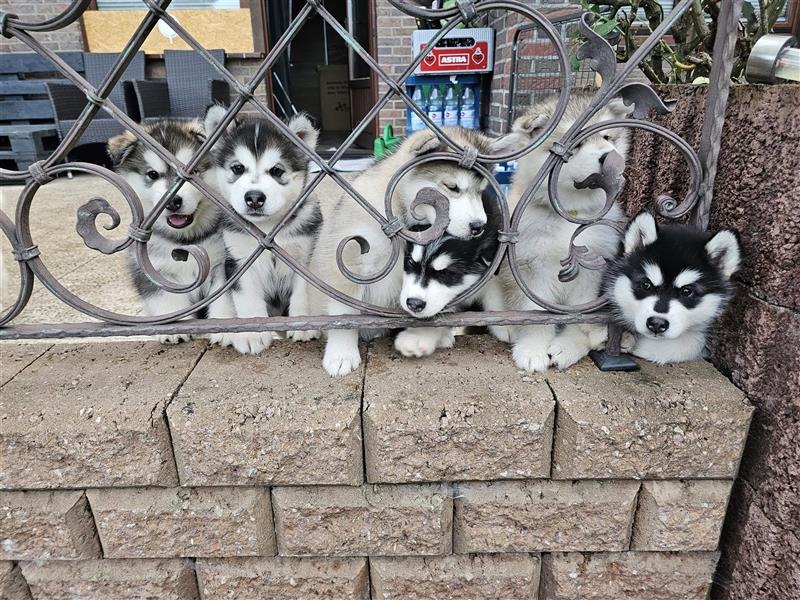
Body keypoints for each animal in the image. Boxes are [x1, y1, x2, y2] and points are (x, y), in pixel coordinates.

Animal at [205, 105, 324, 354]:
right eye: (238, 168)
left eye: (277, 171)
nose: (254, 198)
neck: (268, 229)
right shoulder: (239, 261)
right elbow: (247, 299)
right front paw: (252, 334)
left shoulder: (304, 255)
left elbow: (303, 291)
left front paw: (304, 325)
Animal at [496, 94, 636, 372]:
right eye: (576, 144)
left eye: (607, 138)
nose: (610, 157)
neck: (569, 214)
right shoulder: (530, 271)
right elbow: (534, 315)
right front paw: (533, 349)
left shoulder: (591, 273)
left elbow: (578, 315)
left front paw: (570, 346)